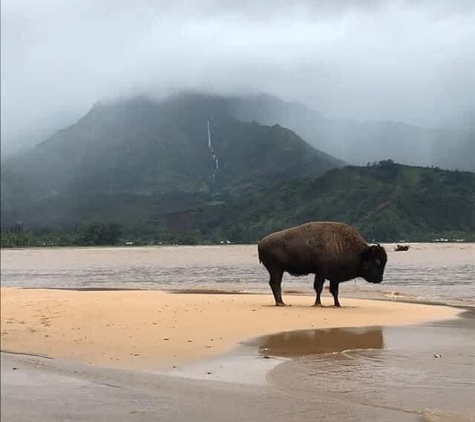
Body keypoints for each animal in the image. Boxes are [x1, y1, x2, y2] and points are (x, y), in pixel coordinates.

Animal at [258, 221, 388, 306]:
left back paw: (281, 302)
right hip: (276, 269)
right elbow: (319, 288)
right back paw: (280, 303)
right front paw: (318, 304)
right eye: (377, 261)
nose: (380, 279)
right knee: (275, 284)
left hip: (278, 270)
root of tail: (260, 243)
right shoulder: (321, 273)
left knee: (275, 284)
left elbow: (334, 291)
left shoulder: (334, 277)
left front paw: (338, 304)